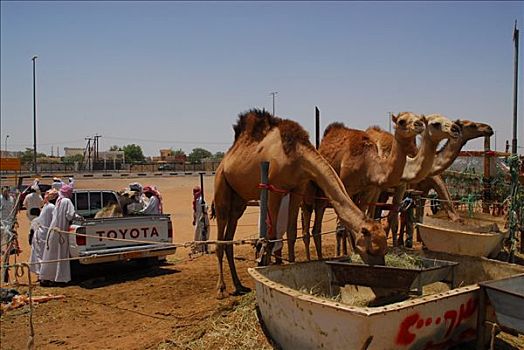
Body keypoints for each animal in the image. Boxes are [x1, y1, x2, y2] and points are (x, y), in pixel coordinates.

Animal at [213, 108, 388, 298]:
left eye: (385, 249)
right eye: (371, 250)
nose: (382, 272)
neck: (296, 154)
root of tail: (223, 161)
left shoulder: (297, 189)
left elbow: (291, 232)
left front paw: (291, 266)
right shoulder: (274, 189)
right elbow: (272, 236)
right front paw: (265, 268)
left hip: (239, 201)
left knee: (229, 238)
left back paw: (239, 286)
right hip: (221, 186)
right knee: (220, 238)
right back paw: (221, 289)